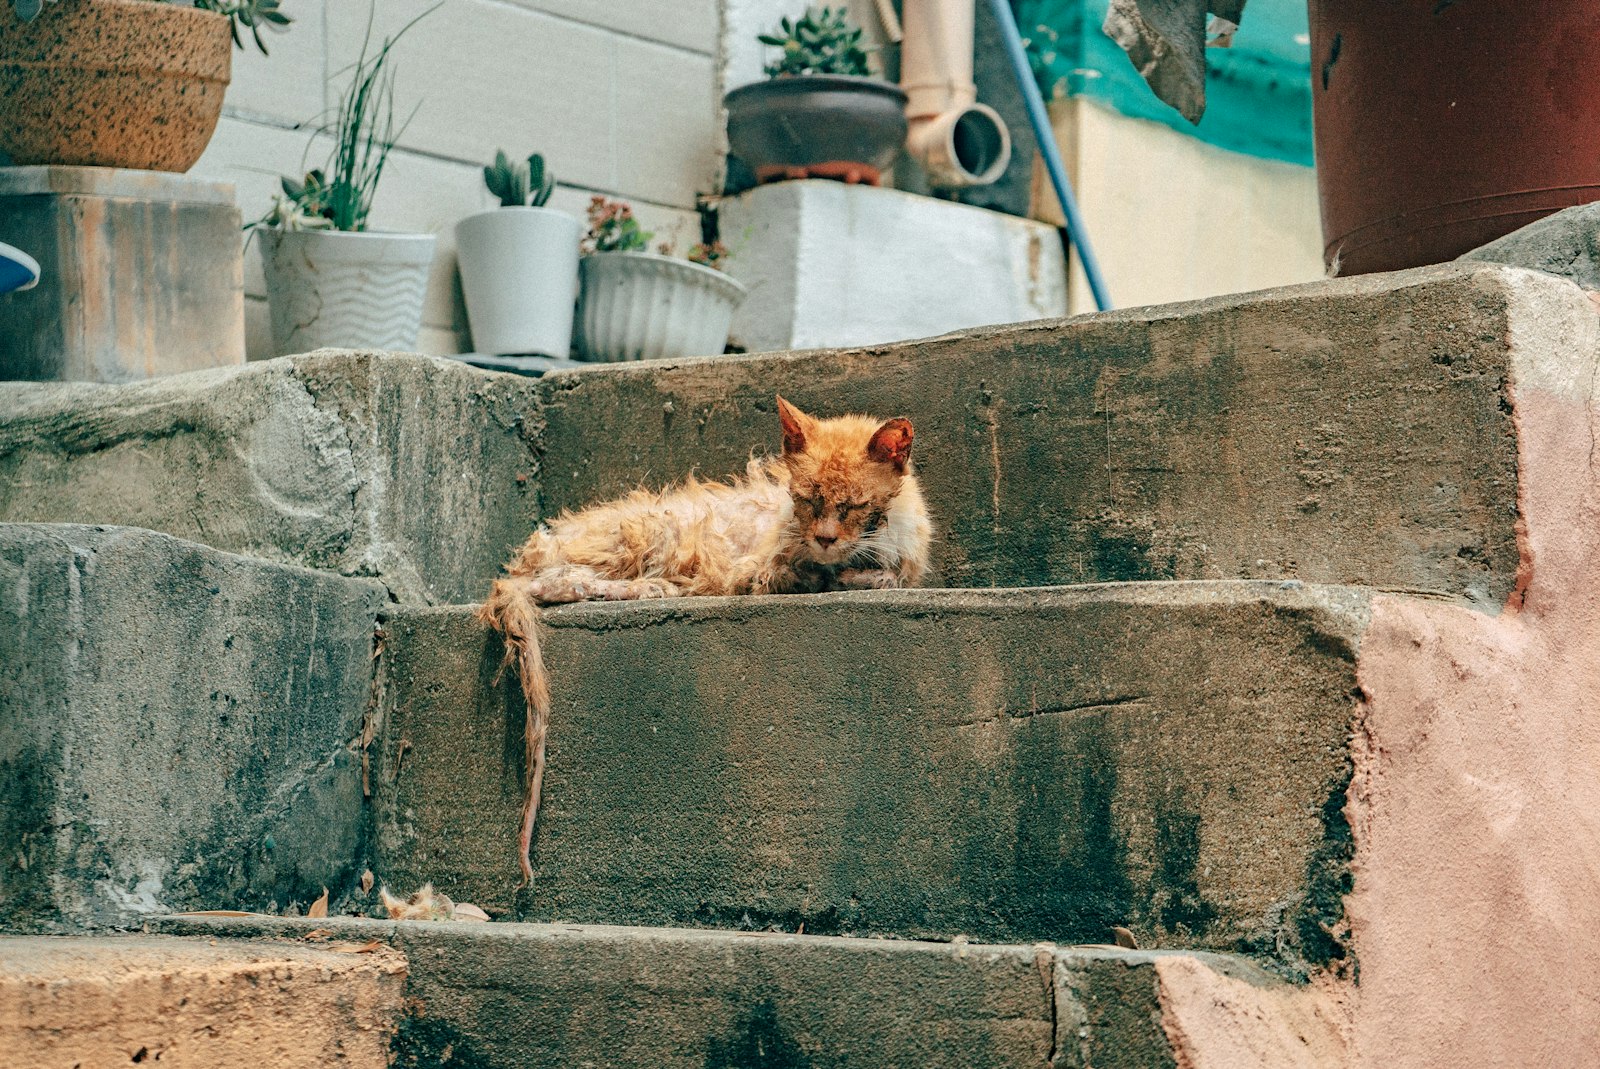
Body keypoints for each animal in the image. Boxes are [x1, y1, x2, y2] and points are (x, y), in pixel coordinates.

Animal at [473, 396, 934, 883]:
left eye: (853, 506)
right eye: (808, 500)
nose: (824, 540)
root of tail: (523, 558)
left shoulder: (898, 565)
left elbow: (890, 576)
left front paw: (857, 574)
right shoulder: (760, 570)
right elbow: (791, 573)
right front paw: (824, 573)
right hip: (654, 533)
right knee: (551, 583)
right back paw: (639, 588)